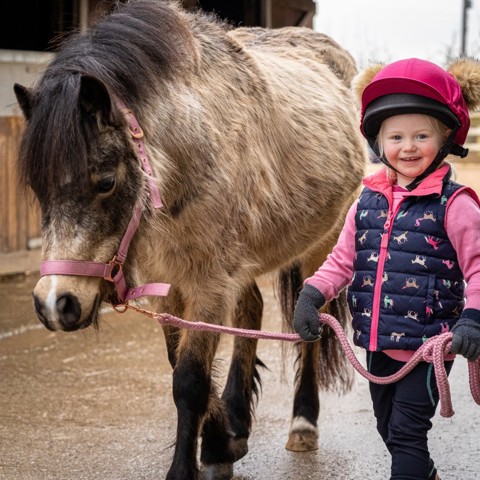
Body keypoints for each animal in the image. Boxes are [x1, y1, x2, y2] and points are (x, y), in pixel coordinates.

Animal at [15, 1, 368, 478]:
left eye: (105, 181)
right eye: (38, 188)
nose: (55, 304)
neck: (194, 145)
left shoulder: (208, 283)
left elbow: (189, 380)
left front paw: (195, 461)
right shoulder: (172, 282)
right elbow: (178, 364)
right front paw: (223, 441)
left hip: (322, 245)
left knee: (311, 325)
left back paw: (302, 423)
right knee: (250, 308)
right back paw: (238, 417)